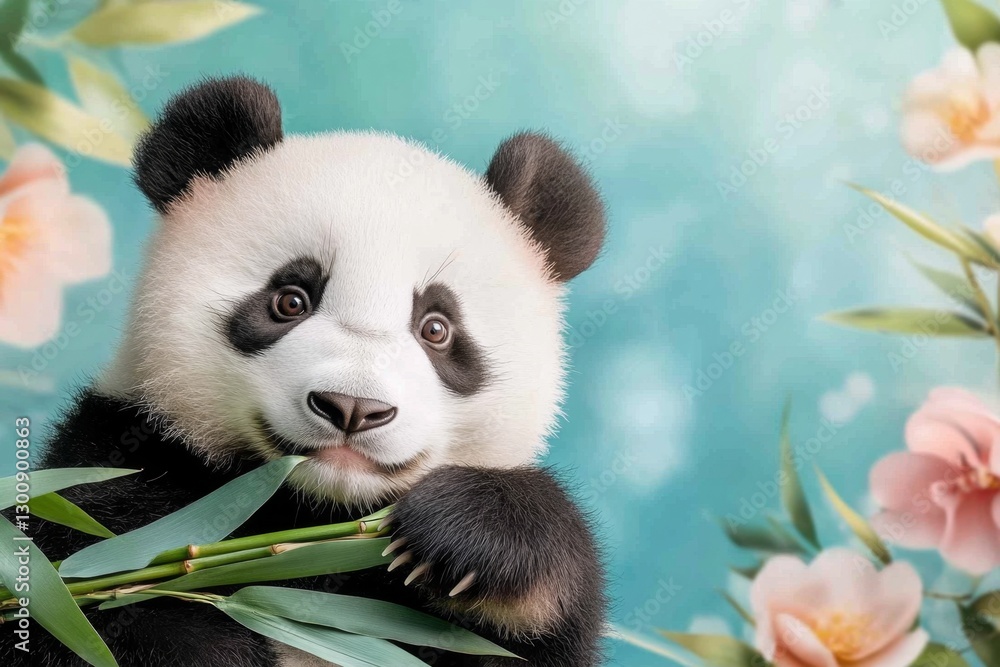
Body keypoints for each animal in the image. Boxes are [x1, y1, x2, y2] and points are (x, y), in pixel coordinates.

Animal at [2, 76, 608, 666]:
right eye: (290, 300)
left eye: (436, 328)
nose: (353, 408)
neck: (309, 516)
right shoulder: (123, 459)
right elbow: (95, 604)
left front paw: (469, 534)